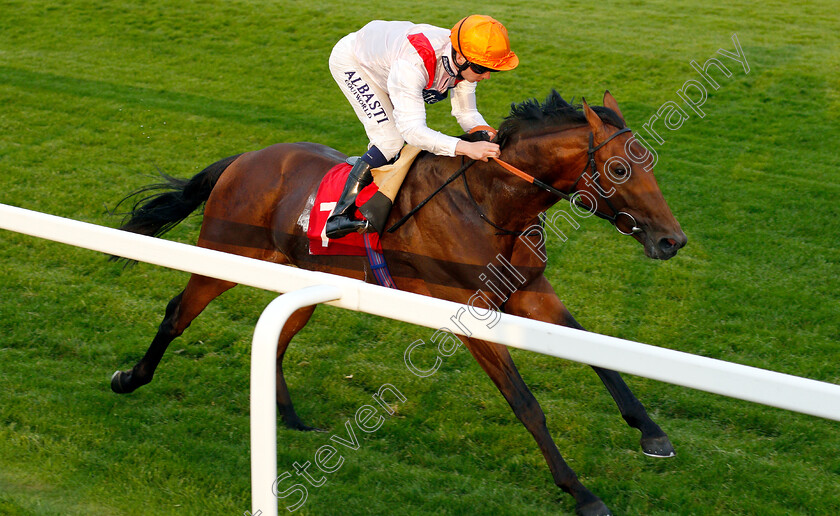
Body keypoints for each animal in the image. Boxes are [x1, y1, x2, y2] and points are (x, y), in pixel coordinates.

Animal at [111, 90, 684, 512]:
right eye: (620, 170)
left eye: (651, 162)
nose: (671, 241)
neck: (490, 203)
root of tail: (246, 158)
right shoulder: (467, 311)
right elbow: (525, 402)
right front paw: (581, 492)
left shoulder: (530, 292)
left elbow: (599, 356)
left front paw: (652, 433)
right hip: (224, 252)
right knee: (178, 313)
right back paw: (130, 378)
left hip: (304, 275)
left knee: (276, 338)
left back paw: (290, 418)